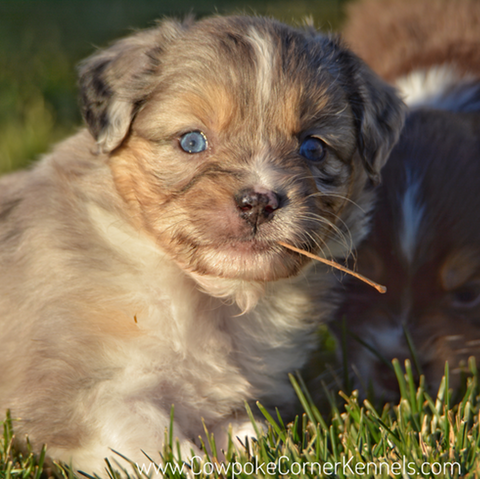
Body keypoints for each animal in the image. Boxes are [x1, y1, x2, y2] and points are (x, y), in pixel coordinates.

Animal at [0, 14, 404, 472]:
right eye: (192, 141)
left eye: (313, 148)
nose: (258, 202)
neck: (206, 296)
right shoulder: (68, 394)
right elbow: (146, 433)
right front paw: (197, 463)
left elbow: (244, 428)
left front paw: (253, 445)